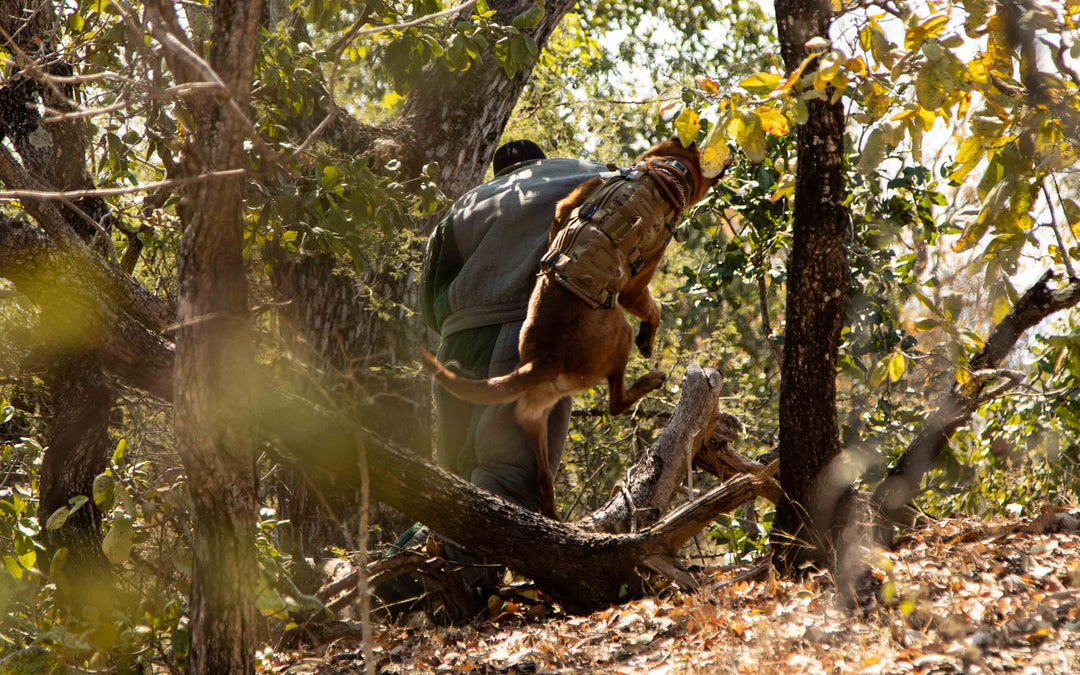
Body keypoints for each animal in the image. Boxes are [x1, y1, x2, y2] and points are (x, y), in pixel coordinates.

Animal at [421, 135, 717, 516]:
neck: (665, 169)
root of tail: (541, 361)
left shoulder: (569, 202)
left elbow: (558, 217)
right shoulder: (637, 285)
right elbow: (652, 309)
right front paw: (649, 337)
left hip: (536, 419)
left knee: (538, 473)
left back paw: (549, 512)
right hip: (617, 332)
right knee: (616, 402)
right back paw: (649, 380)